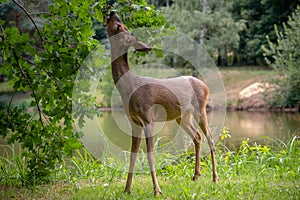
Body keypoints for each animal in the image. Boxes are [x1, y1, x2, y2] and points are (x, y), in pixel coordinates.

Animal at [105, 11, 218, 196]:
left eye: (120, 26)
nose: (113, 12)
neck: (129, 87)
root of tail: (205, 85)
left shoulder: (148, 118)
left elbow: (150, 154)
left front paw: (157, 189)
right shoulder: (134, 122)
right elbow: (133, 155)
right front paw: (127, 189)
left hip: (200, 110)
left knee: (210, 138)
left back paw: (215, 177)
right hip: (182, 117)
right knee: (197, 136)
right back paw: (196, 175)